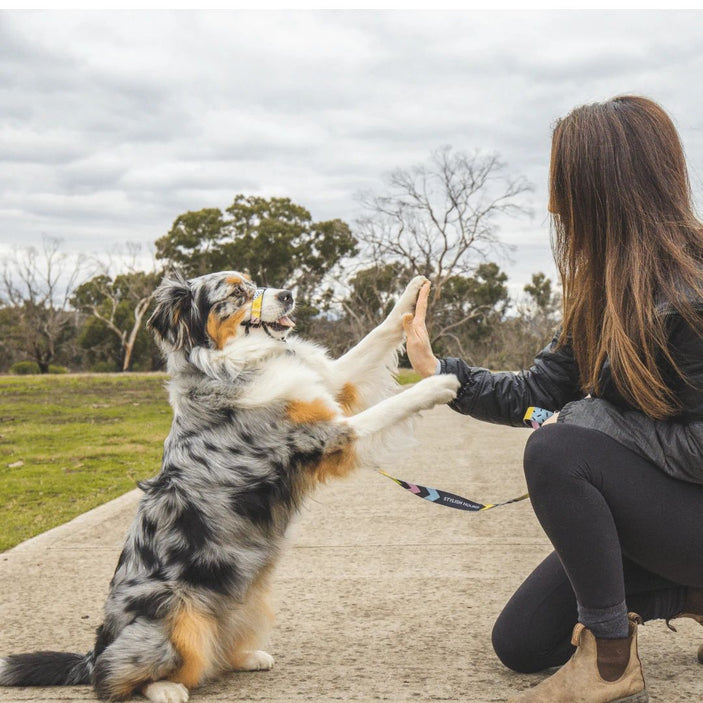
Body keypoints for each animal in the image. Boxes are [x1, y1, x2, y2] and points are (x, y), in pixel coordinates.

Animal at [0, 270, 460, 703]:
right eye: (236, 293)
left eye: (256, 282)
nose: (288, 294)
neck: (236, 361)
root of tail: (97, 646)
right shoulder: (326, 435)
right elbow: (391, 406)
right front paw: (437, 383)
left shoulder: (328, 385)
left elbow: (375, 336)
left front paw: (413, 295)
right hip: (176, 613)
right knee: (115, 677)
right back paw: (164, 688)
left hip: (249, 597)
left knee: (209, 655)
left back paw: (245, 657)